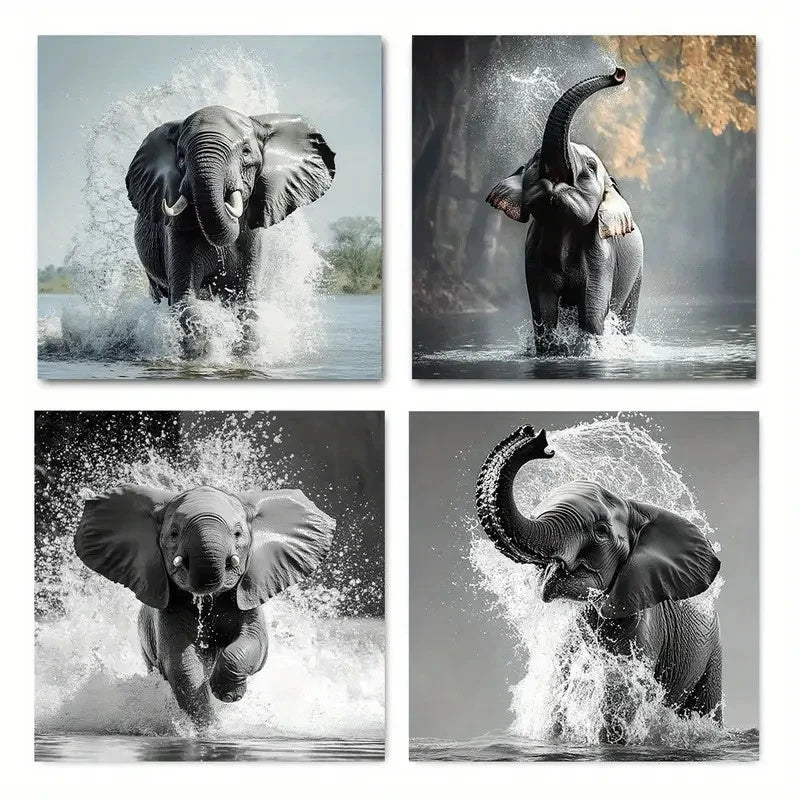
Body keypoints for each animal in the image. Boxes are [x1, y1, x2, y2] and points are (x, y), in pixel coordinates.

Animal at [74, 484, 334, 727]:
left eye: (238, 534)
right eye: (174, 533)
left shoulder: (248, 596)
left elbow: (255, 644)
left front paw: (227, 695)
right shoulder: (167, 612)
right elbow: (181, 665)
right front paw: (209, 728)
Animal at [125, 105, 335, 353]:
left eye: (245, 152)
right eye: (181, 158)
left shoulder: (253, 237)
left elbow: (246, 303)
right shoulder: (177, 231)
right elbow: (186, 300)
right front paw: (207, 345)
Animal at [486, 68, 643, 350]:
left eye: (590, 167)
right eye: (536, 159)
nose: (619, 72)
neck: (562, 229)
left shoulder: (601, 255)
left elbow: (592, 314)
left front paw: (586, 351)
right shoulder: (533, 253)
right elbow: (544, 310)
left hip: (637, 274)